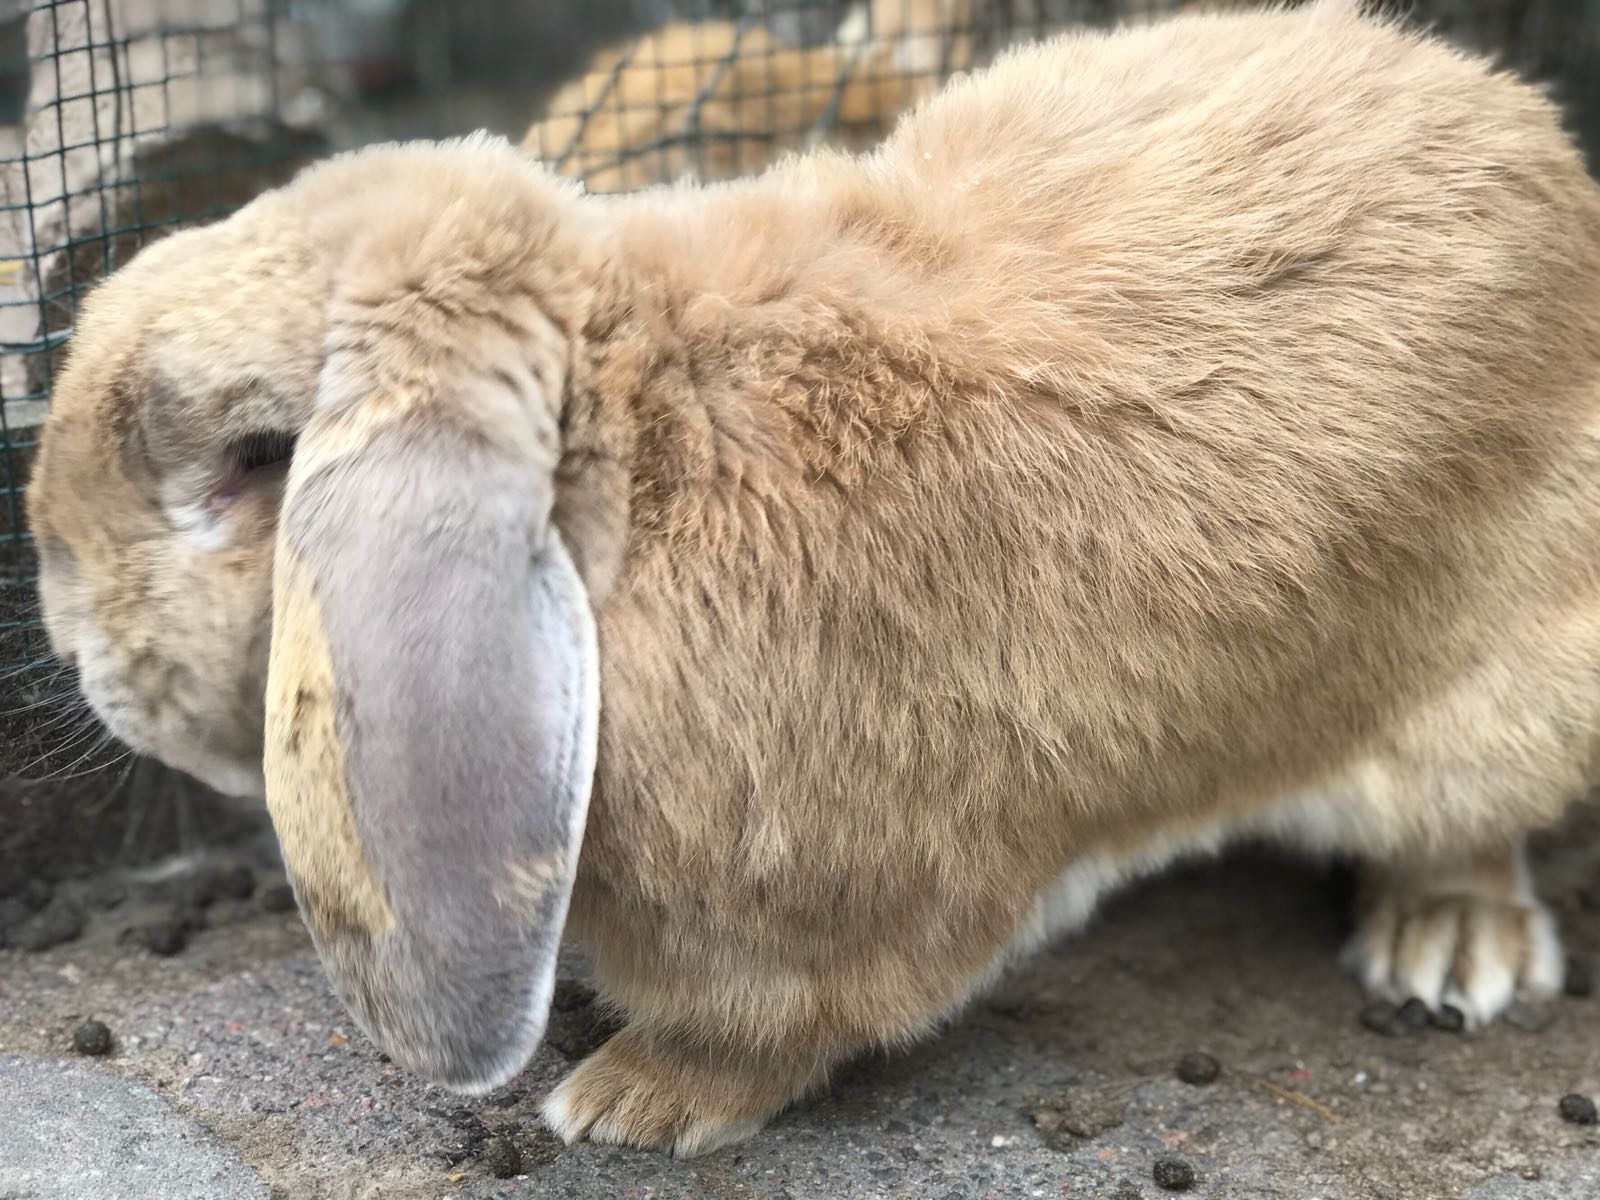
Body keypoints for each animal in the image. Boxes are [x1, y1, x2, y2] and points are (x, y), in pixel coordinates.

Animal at [27, 0, 1600, 1159]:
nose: (68, 633)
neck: (632, 470)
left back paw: (1450, 951)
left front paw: (633, 1103)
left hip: (1495, 703)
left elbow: (786, 1029)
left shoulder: (860, 910)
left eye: (252, 462)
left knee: (1469, 826)